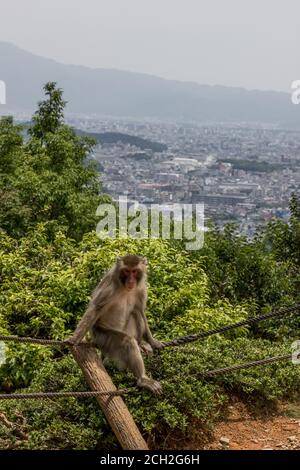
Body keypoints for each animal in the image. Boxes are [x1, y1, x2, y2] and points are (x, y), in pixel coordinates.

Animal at [67, 255, 163, 394]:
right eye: (126, 271)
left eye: (134, 271)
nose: (130, 280)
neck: (125, 288)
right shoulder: (109, 287)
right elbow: (96, 308)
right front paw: (74, 339)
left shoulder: (141, 289)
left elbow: (140, 310)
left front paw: (152, 341)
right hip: (104, 339)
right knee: (127, 341)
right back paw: (142, 379)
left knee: (136, 313)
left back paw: (141, 344)